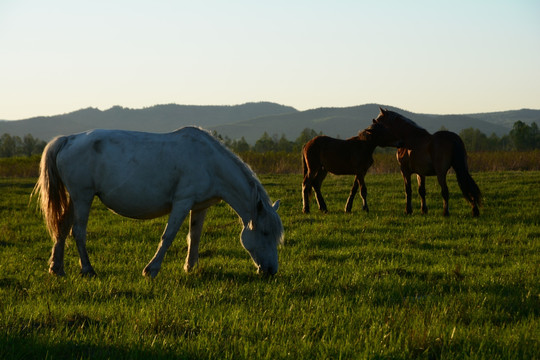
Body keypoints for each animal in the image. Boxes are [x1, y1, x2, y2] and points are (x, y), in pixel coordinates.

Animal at [33, 127, 284, 278]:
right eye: (264, 233)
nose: (271, 270)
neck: (209, 162)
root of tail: (69, 140)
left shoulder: (199, 207)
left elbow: (194, 237)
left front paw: (190, 267)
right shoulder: (182, 202)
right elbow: (168, 236)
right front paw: (151, 269)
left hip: (74, 198)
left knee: (62, 228)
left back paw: (57, 268)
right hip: (83, 196)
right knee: (78, 231)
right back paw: (87, 269)